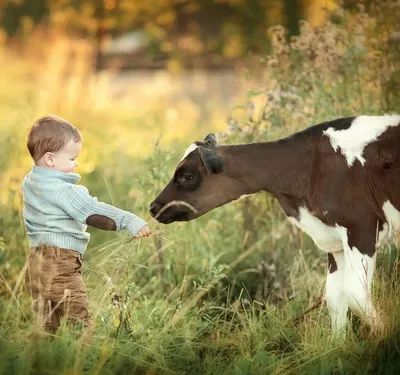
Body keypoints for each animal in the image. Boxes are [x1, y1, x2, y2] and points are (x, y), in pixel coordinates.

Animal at [149, 115, 400, 334]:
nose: (153, 207)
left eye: (187, 176)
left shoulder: (361, 227)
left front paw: (385, 338)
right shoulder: (334, 240)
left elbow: (355, 293)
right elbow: (335, 298)